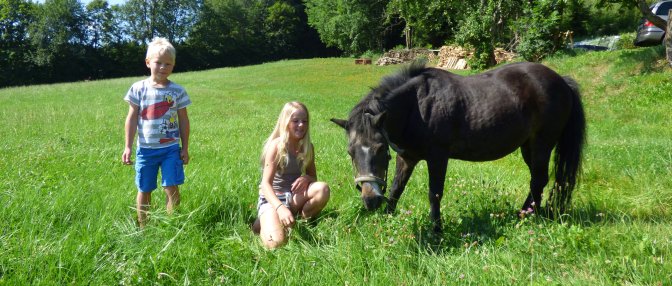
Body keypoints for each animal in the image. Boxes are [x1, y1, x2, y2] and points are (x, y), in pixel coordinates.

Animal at [334, 61, 584, 231]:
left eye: (380, 149)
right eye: (350, 153)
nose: (370, 200)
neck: (417, 106)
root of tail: (562, 80)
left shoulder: (437, 157)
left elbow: (434, 193)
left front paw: (436, 231)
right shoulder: (407, 157)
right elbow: (397, 189)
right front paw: (386, 220)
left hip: (542, 144)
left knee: (538, 180)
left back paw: (530, 218)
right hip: (528, 146)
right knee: (537, 180)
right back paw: (524, 214)